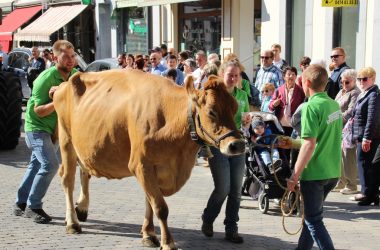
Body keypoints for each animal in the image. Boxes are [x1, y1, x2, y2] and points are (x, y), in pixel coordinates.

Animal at [52, 69, 245, 250]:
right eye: (211, 112)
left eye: (235, 108)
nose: (237, 145)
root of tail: (64, 84)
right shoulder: (141, 165)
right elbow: (160, 207)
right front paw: (167, 242)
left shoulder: (154, 169)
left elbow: (150, 202)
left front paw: (148, 234)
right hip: (66, 141)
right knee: (67, 180)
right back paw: (72, 222)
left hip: (84, 146)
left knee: (85, 172)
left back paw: (82, 208)